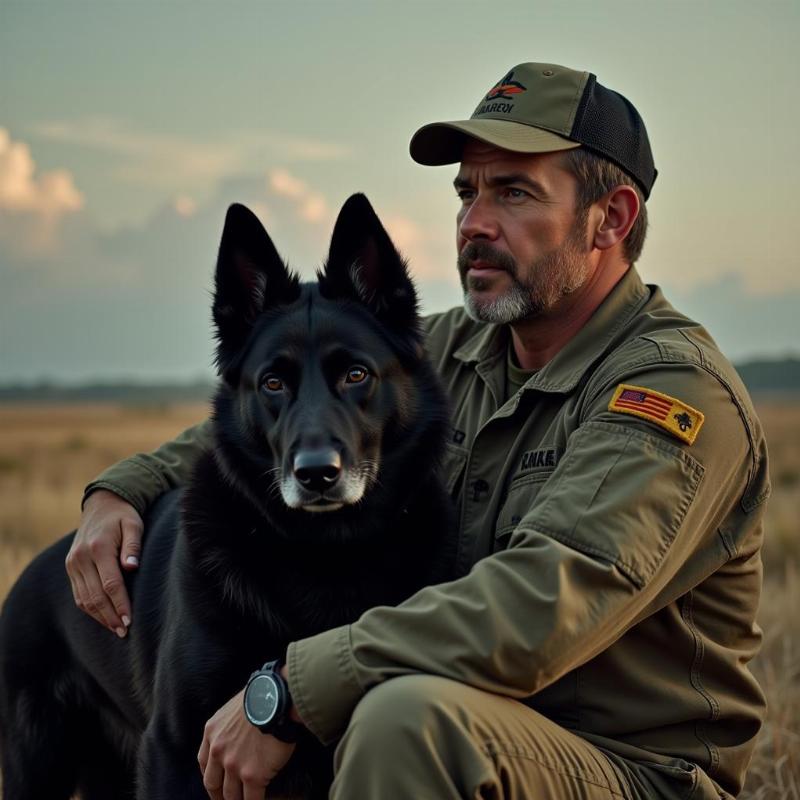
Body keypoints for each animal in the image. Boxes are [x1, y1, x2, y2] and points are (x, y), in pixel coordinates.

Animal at [0, 195, 454, 800]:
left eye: (357, 374)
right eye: (272, 384)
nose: (316, 475)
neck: (325, 554)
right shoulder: (172, 749)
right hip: (38, 762)